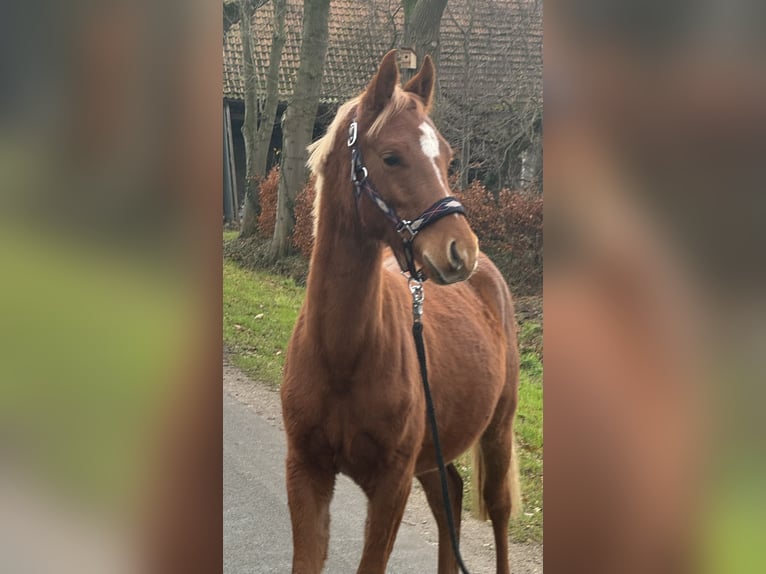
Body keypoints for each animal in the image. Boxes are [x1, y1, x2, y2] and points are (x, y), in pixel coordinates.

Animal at [282, 50, 520, 574]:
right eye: (391, 157)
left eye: (447, 158)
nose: (460, 250)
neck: (343, 356)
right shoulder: (306, 471)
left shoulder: (392, 485)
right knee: (450, 496)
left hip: (498, 429)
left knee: (498, 511)